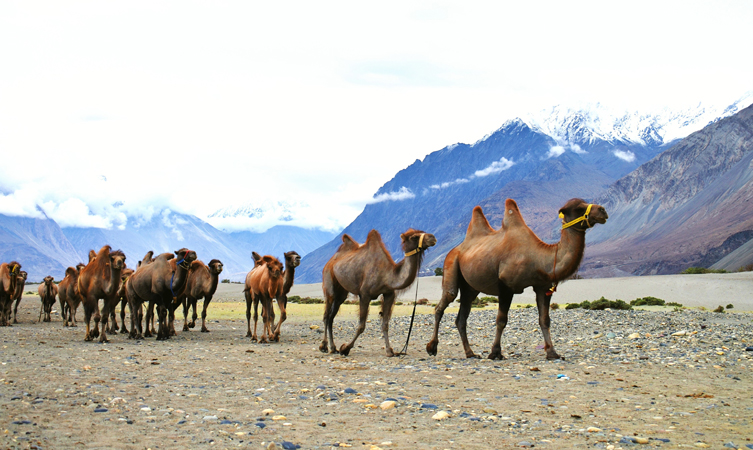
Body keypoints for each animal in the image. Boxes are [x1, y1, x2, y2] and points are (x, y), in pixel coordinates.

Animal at [320, 229, 437, 357]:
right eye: (414, 237)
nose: (432, 237)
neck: (387, 276)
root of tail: (331, 260)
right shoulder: (364, 295)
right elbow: (361, 326)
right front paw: (345, 348)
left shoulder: (389, 294)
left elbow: (385, 324)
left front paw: (389, 351)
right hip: (329, 280)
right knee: (326, 315)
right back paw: (324, 346)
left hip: (341, 293)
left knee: (332, 316)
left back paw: (333, 348)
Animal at [426, 198, 608, 360]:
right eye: (579, 208)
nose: (603, 210)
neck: (540, 257)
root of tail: (455, 249)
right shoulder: (506, 286)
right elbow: (501, 320)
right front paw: (495, 353)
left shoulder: (542, 287)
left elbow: (545, 320)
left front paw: (552, 353)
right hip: (451, 264)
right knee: (444, 302)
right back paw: (432, 347)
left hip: (470, 287)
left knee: (461, 318)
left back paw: (470, 353)